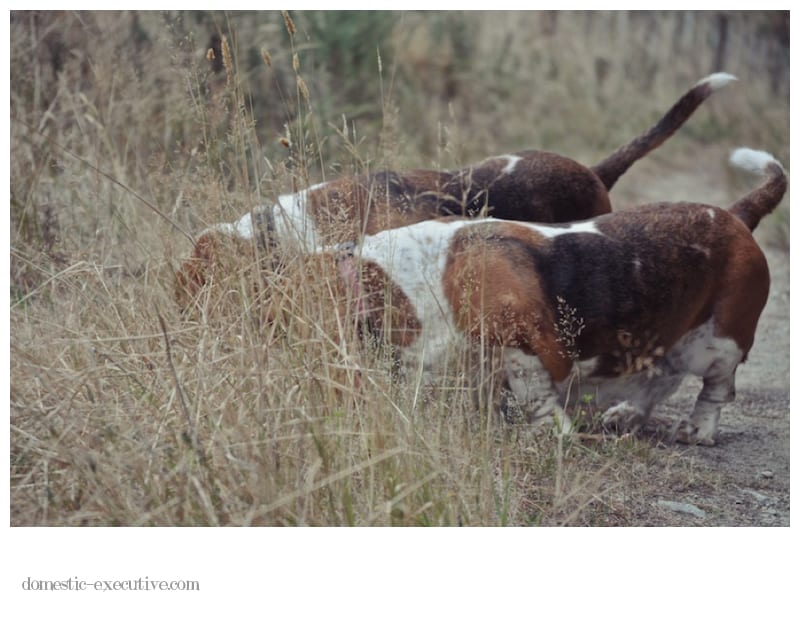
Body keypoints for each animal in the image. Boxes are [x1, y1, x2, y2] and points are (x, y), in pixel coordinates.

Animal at [326, 147, 788, 446]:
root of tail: (734, 217)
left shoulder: (523, 344)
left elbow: (533, 390)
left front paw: (550, 433)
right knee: (662, 377)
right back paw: (625, 416)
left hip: (719, 343)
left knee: (714, 388)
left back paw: (698, 431)